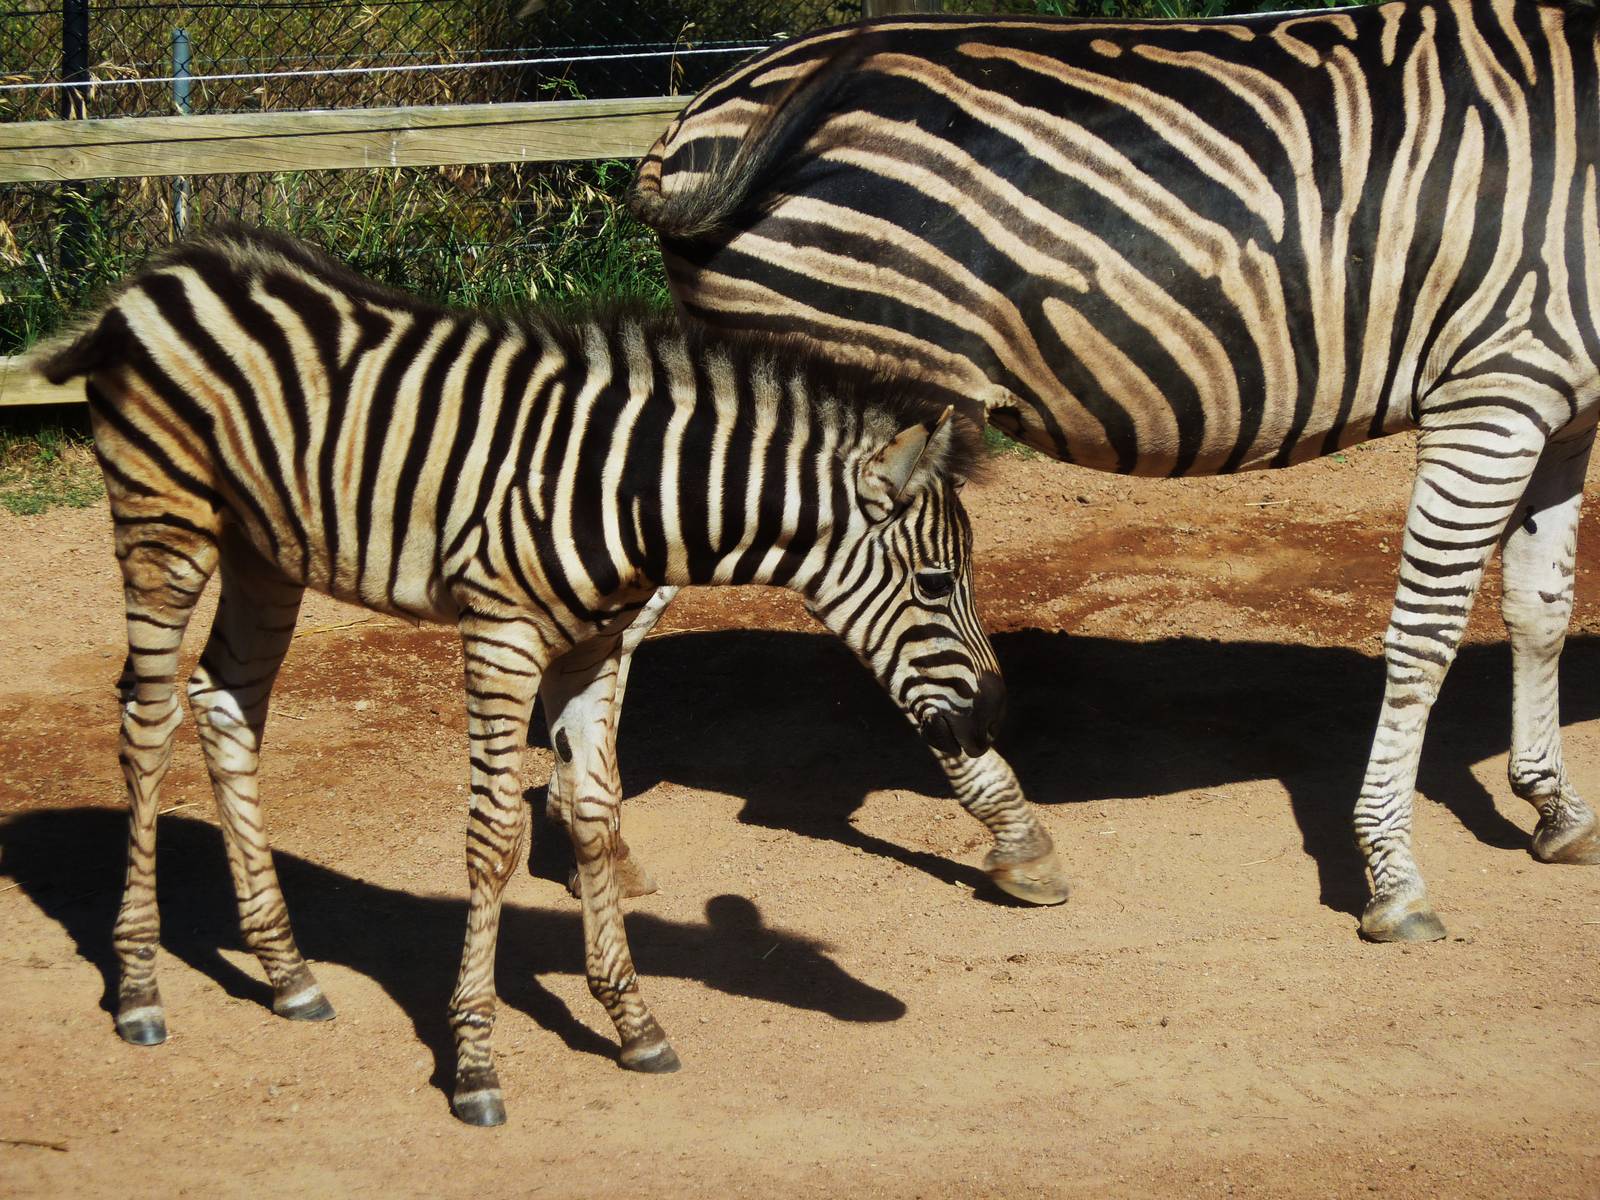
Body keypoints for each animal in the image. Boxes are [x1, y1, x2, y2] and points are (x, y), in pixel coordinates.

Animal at [31, 223, 1048, 1126]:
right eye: (934, 583)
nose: (993, 718)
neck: (633, 493)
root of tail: (162, 269)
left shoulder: (590, 649)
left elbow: (593, 814)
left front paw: (634, 1024)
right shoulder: (504, 633)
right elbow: (493, 837)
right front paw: (476, 1064)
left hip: (264, 548)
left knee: (226, 705)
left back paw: (287, 973)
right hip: (164, 519)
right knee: (147, 719)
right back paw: (139, 989)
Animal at [626, 0, 1600, 943]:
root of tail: (697, 117)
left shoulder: (1566, 415)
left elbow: (1540, 609)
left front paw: (1555, 811)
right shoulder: (1493, 387)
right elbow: (1425, 639)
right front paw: (1393, 878)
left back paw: (614, 854)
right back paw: (1018, 840)